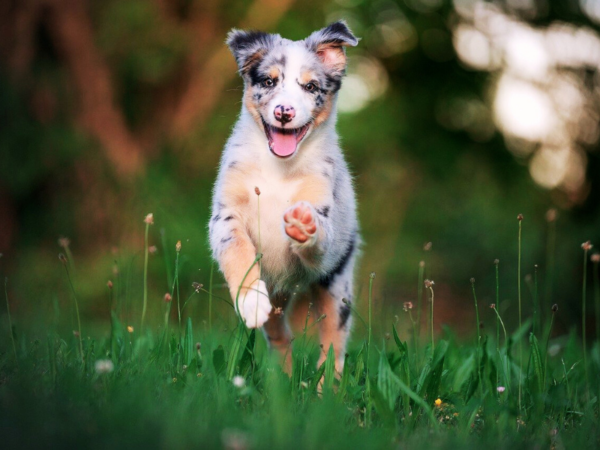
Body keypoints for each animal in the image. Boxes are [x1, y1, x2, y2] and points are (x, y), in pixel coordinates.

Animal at [210, 22, 358, 372]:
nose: (284, 112)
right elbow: (237, 249)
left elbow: (318, 236)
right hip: (276, 296)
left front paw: (304, 225)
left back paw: (324, 386)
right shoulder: (225, 214)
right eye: (269, 81)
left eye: (311, 86)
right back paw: (281, 375)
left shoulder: (324, 212)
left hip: (338, 286)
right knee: (280, 335)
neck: (277, 168)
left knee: (333, 347)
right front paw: (250, 300)